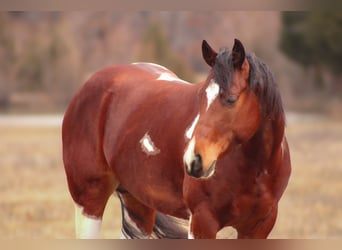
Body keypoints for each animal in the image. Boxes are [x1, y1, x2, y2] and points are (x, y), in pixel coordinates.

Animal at [62, 38, 292, 238]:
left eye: (231, 99)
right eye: (200, 96)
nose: (193, 161)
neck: (255, 171)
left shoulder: (258, 227)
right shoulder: (202, 221)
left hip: (138, 203)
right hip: (89, 202)